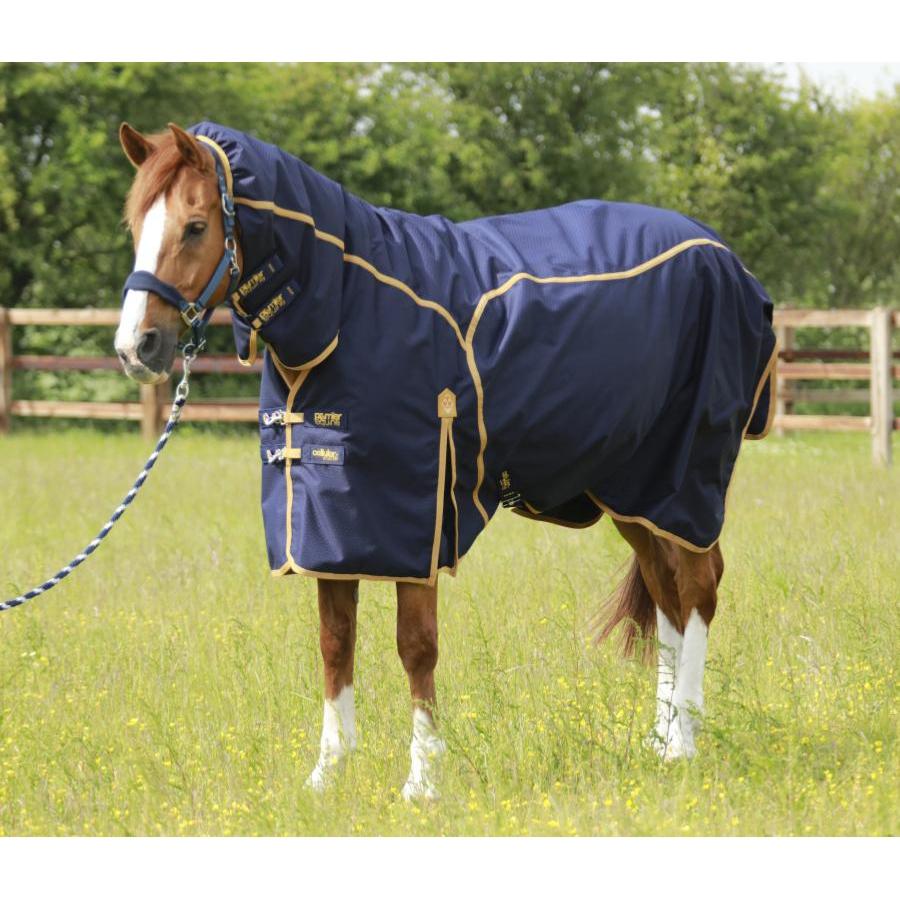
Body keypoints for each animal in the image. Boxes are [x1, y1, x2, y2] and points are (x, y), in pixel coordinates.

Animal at [114, 121, 776, 800]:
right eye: (135, 225)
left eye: (195, 226)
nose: (136, 347)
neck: (347, 314)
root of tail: (728, 261)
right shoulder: (329, 527)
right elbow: (335, 643)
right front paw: (328, 773)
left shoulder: (419, 523)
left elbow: (416, 647)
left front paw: (422, 780)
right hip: (633, 492)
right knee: (667, 596)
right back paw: (660, 740)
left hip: (684, 476)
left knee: (697, 589)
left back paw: (684, 743)